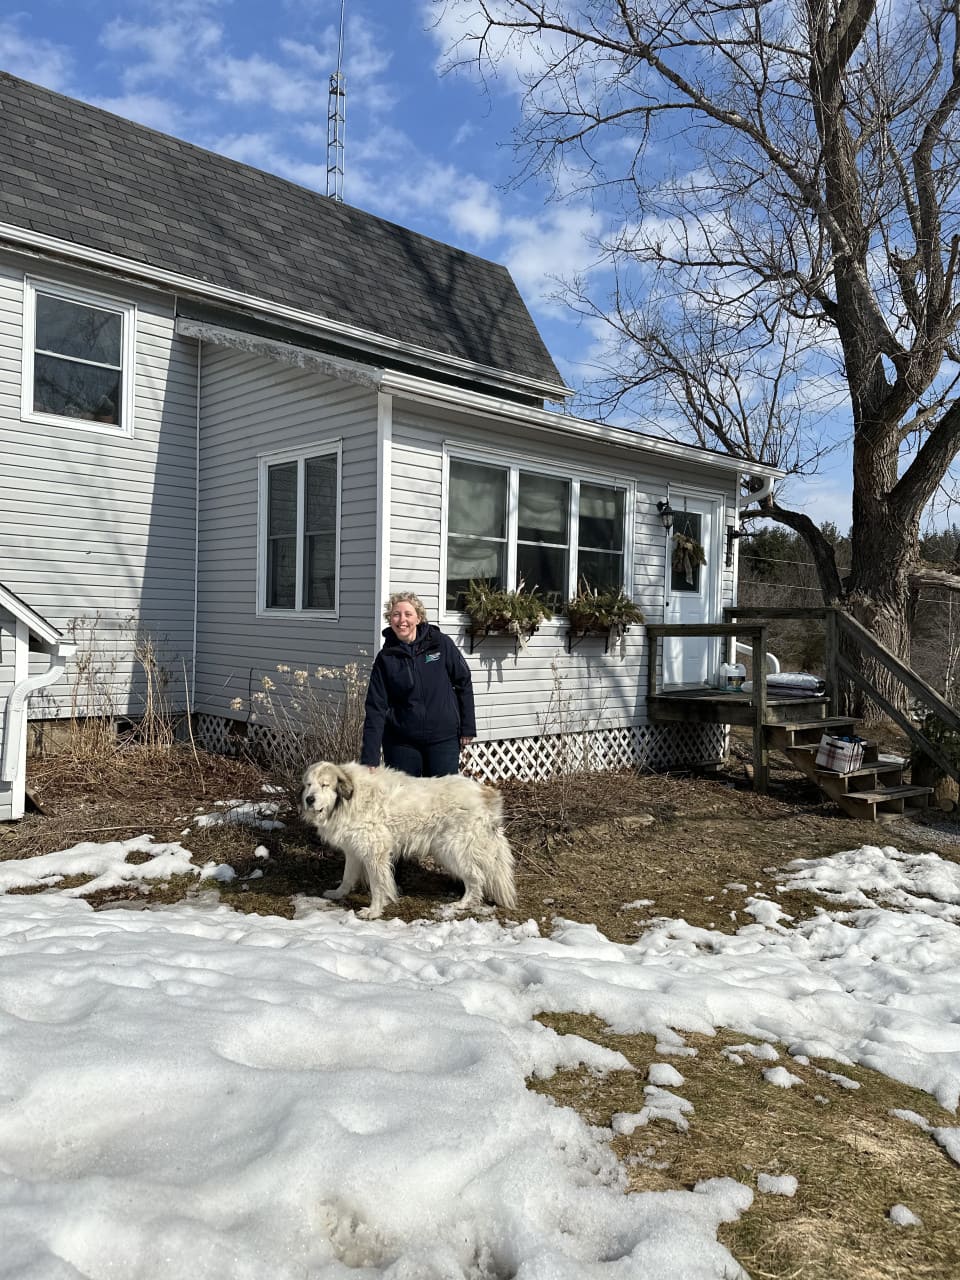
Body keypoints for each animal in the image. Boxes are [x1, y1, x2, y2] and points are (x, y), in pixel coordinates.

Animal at [300, 757, 519, 921]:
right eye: (309, 785)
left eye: (324, 785)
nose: (309, 799)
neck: (349, 798)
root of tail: (486, 793)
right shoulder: (354, 850)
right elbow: (347, 877)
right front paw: (338, 894)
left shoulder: (375, 851)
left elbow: (378, 885)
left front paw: (374, 911)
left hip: (451, 849)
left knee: (476, 877)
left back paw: (463, 903)